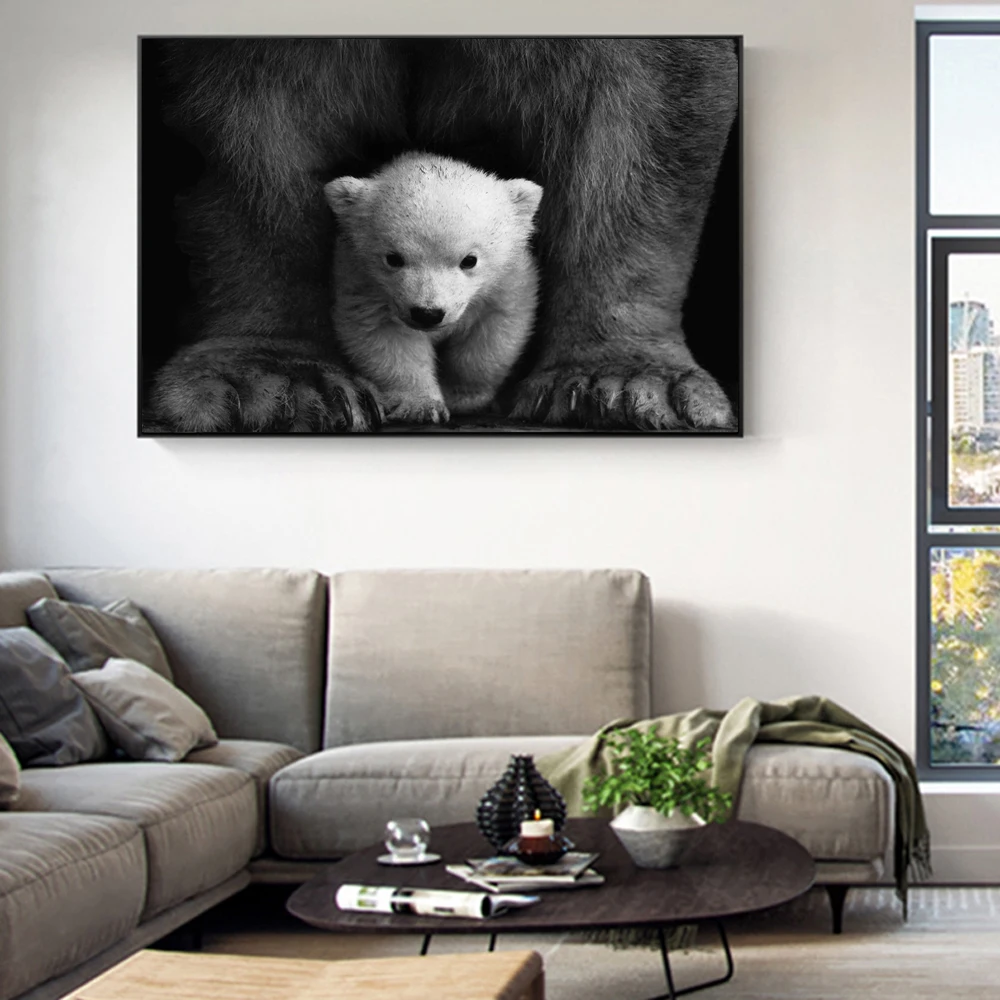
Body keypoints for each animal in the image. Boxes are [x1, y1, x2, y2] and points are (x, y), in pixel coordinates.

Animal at [324, 153, 543, 426]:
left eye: (469, 260)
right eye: (393, 258)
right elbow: (385, 337)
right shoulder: (363, 283)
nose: (428, 314)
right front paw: (421, 406)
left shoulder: (507, 282)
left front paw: (462, 397)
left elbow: (493, 334)